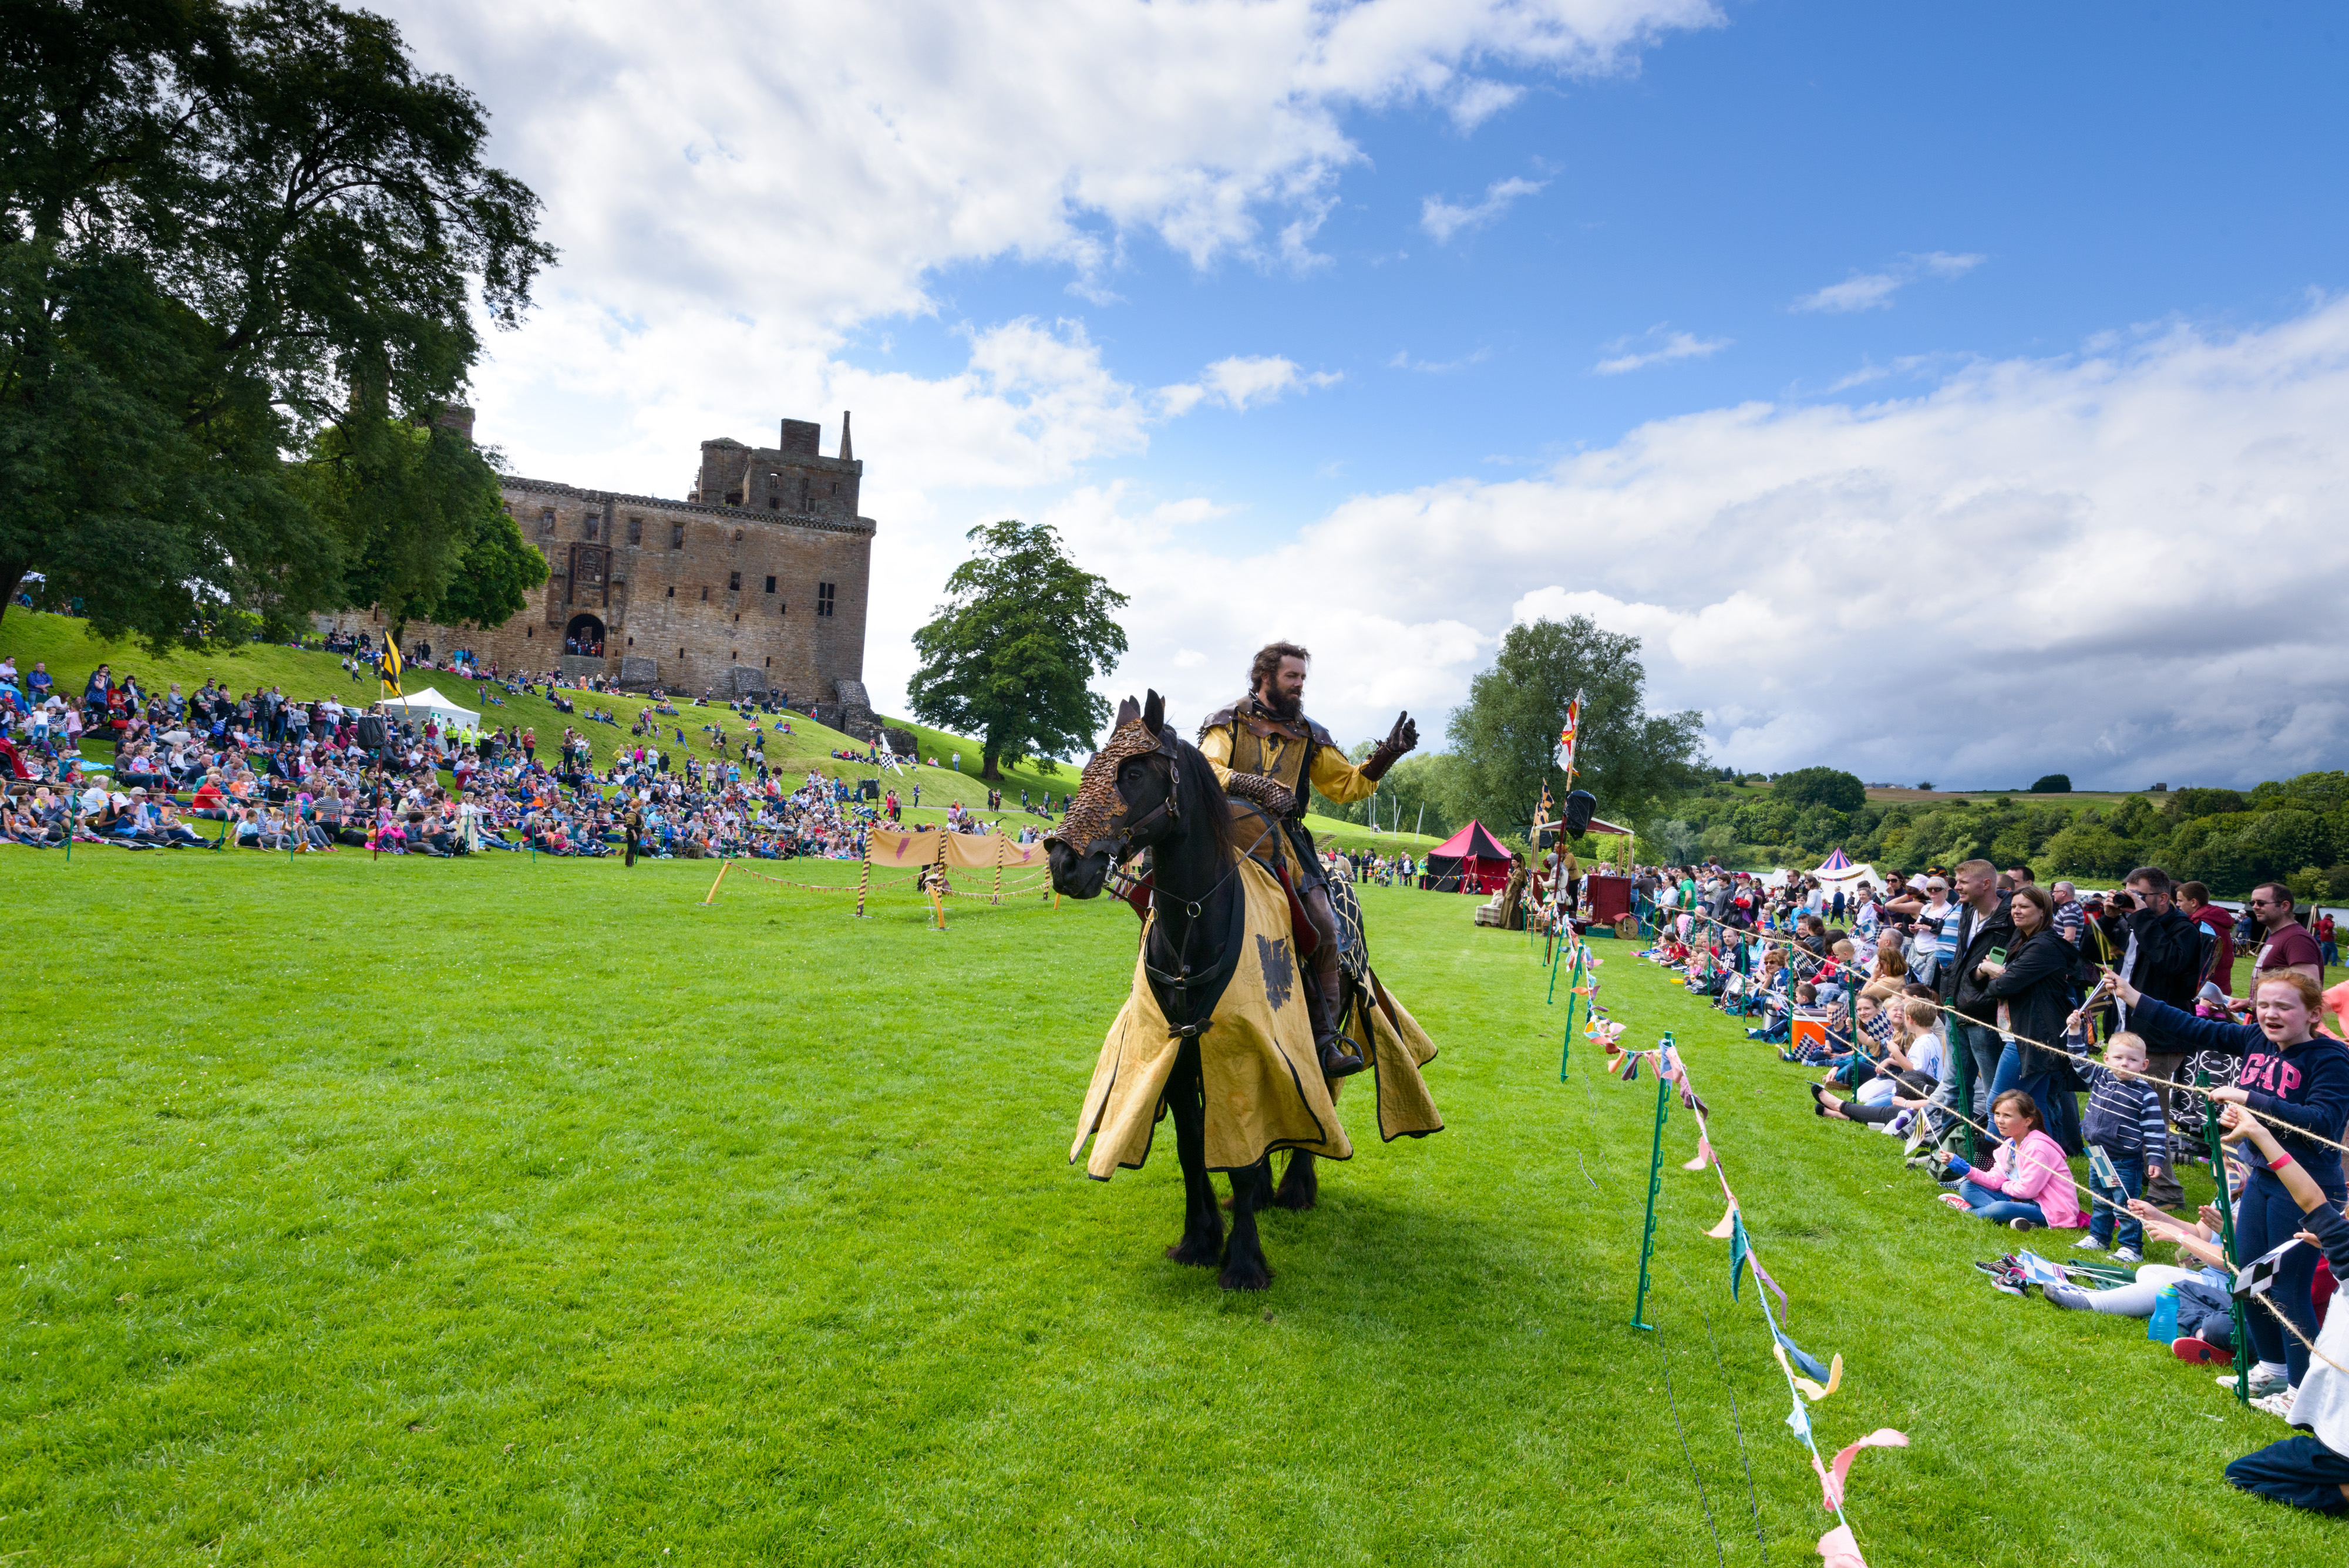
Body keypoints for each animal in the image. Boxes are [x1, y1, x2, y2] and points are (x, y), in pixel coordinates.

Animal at [1052, 690, 1315, 1296]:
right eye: (1090, 768)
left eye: (1134, 772)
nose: (1063, 862)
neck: (1196, 921)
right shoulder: (1172, 1059)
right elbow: (1193, 1148)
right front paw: (1200, 1237)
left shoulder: (1243, 1057)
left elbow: (1238, 1157)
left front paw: (1243, 1262)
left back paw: (1296, 1186)